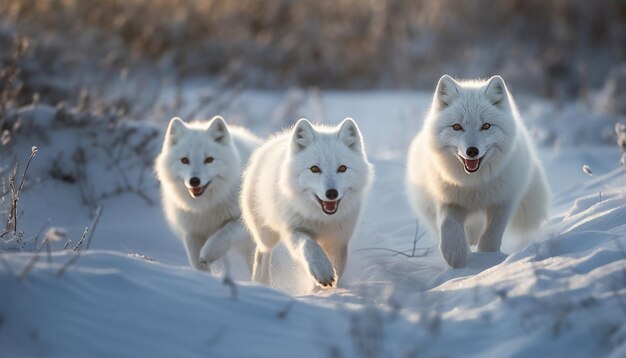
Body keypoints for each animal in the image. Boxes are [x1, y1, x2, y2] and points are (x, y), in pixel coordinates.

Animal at [404, 74, 544, 268]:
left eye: (486, 126)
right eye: (457, 127)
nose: (472, 151)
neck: (473, 184)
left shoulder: (503, 201)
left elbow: (491, 238)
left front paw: (488, 259)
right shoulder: (448, 200)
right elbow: (447, 226)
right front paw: (455, 256)